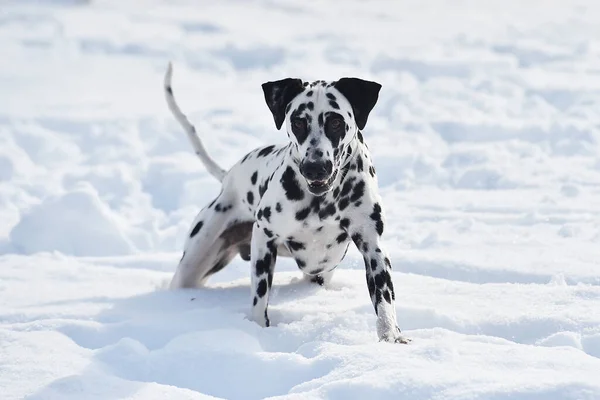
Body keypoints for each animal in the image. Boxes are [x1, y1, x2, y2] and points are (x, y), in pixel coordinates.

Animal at [163, 63, 408, 344]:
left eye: (336, 122)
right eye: (298, 122)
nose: (315, 167)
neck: (321, 201)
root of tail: (229, 176)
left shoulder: (372, 246)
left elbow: (384, 299)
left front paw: (391, 337)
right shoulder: (264, 238)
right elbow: (260, 295)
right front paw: (259, 329)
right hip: (194, 261)